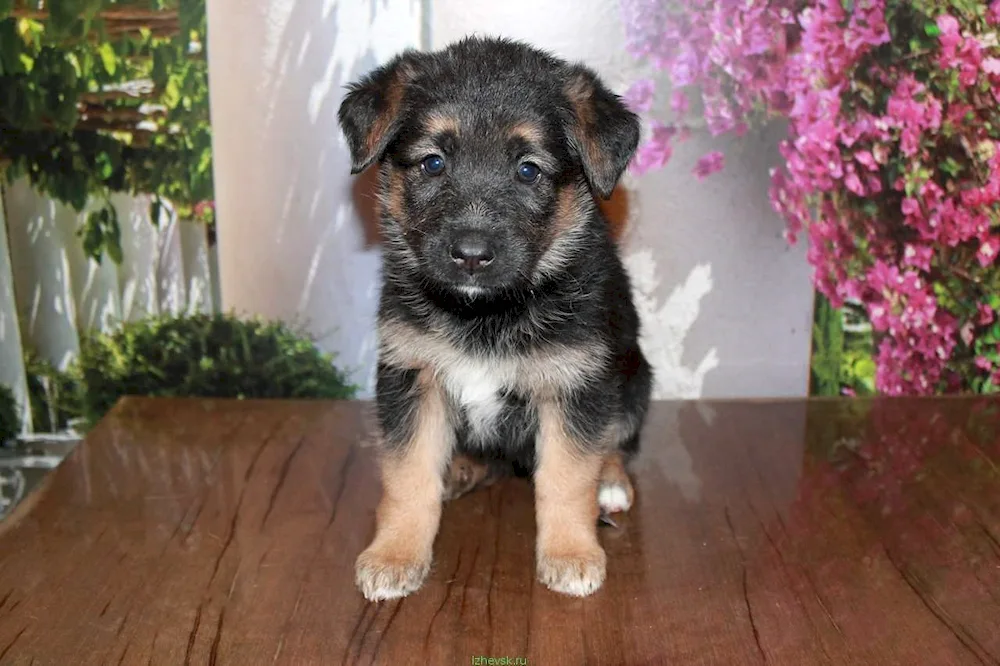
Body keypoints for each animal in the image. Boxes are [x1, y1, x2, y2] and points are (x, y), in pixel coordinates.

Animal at [340, 35, 652, 596]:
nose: (470, 254)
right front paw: (395, 555)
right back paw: (461, 468)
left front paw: (571, 553)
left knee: (616, 441)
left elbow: (567, 478)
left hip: (635, 377)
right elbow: (408, 476)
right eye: (433, 163)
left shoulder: (575, 384)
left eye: (528, 169)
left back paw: (612, 482)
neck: (484, 313)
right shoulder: (412, 377)